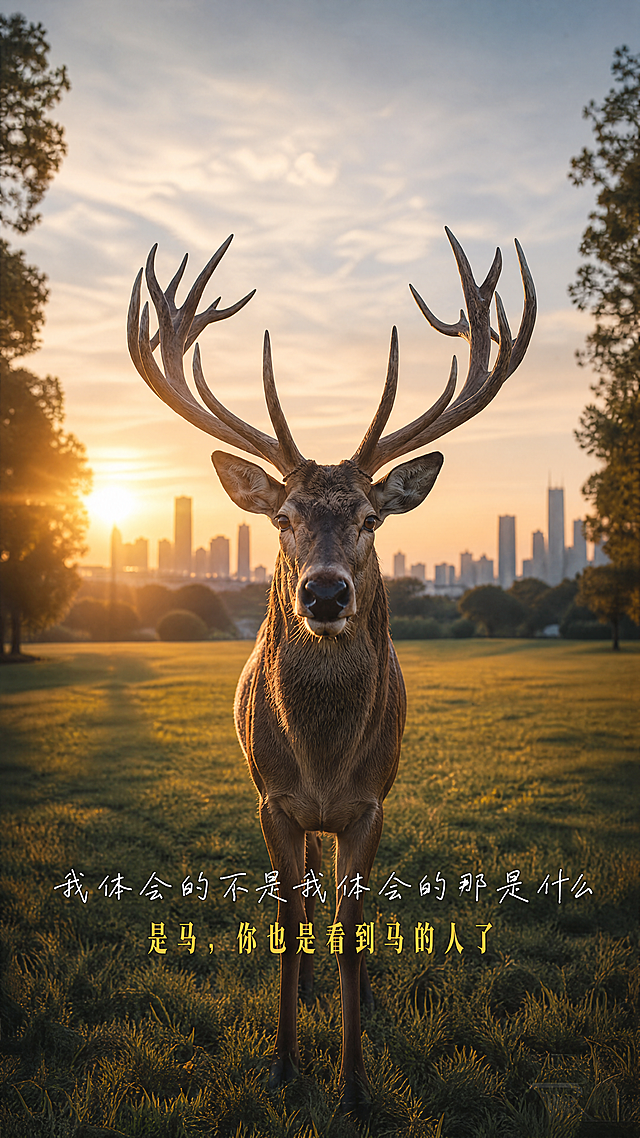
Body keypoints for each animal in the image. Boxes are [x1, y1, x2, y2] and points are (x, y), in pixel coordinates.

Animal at [127, 227, 536, 1118]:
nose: (323, 592)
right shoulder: (272, 800)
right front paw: (283, 1063)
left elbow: (353, 932)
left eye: (371, 517)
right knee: (308, 892)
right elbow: (288, 923)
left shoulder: (369, 803)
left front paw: (352, 1084)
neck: (321, 761)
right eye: (282, 517)